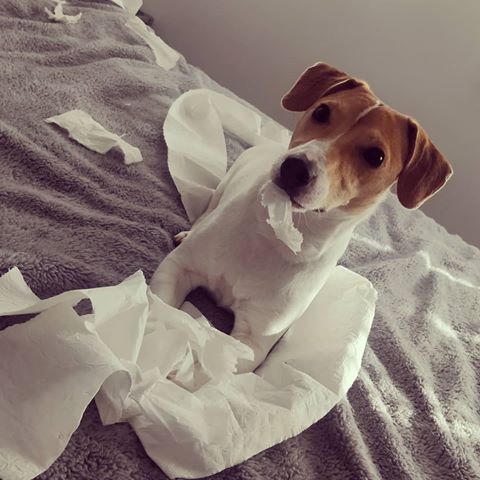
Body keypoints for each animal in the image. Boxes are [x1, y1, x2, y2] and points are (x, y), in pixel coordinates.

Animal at [150, 62, 454, 372]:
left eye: (376, 156)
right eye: (321, 112)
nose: (295, 168)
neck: (275, 232)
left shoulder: (254, 340)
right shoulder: (176, 269)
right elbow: (159, 306)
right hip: (221, 190)